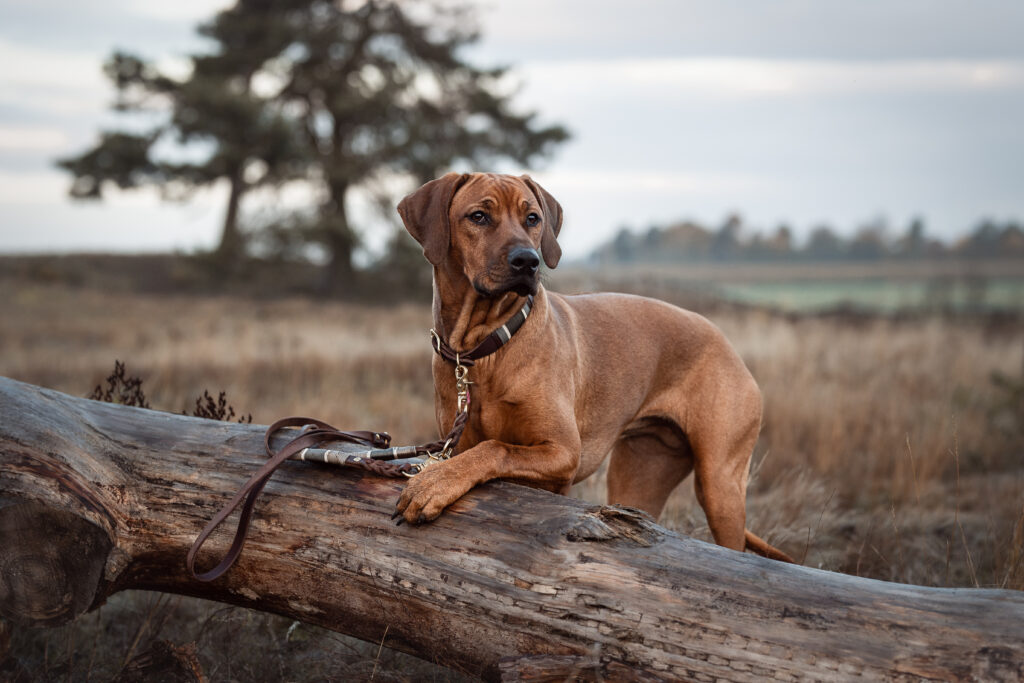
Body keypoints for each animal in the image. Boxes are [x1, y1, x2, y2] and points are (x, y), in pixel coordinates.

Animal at [391, 171, 790, 561]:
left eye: (532, 218)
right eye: (478, 216)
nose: (528, 261)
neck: (485, 351)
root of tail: (728, 345)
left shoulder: (563, 454)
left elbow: (495, 448)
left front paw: (433, 484)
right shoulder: (460, 442)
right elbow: (479, 450)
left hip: (720, 485)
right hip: (642, 474)